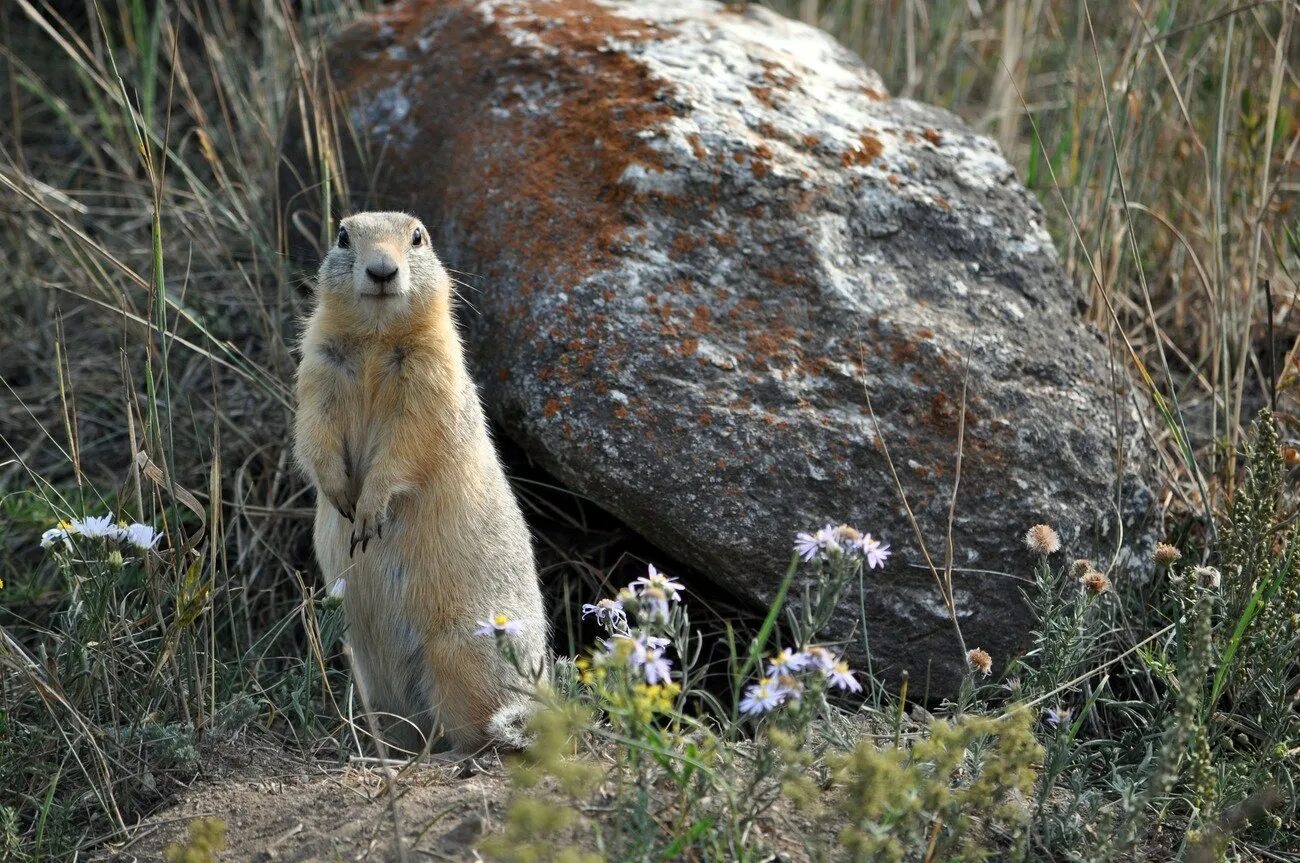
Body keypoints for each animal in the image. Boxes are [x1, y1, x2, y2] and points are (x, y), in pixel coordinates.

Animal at [295, 210, 548, 753]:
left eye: (418, 238)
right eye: (343, 236)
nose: (382, 271)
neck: (375, 339)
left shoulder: (433, 374)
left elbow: (406, 444)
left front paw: (369, 513)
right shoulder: (318, 366)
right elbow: (313, 433)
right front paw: (341, 496)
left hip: (461, 656)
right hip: (372, 678)